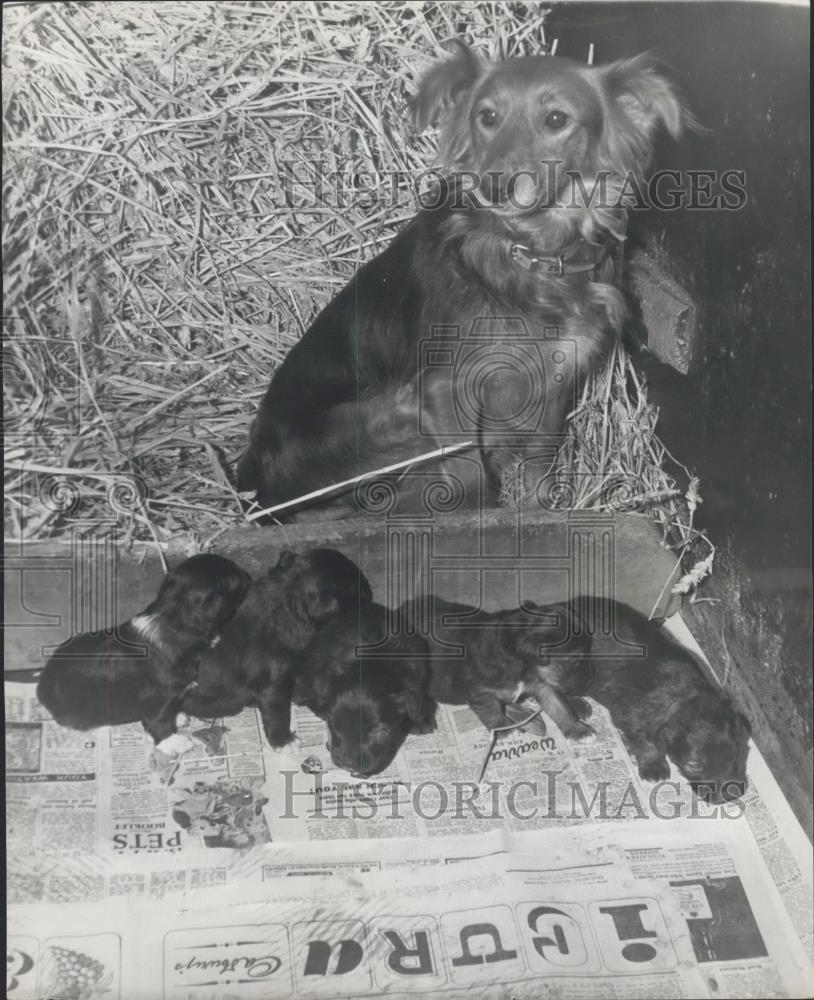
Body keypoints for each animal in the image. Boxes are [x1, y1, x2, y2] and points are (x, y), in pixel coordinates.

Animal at [32, 556, 252, 744]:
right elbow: (159, 725)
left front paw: (180, 717)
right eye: (235, 580)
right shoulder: (160, 702)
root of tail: (41, 685)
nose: (247, 574)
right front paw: (176, 744)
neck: (172, 617)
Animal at [239, 46, 700, 516]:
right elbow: (470, 485)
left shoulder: (554, 381)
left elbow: (538, 465)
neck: (530, 256)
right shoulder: (443, 392)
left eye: (556, 119)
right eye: (487, 116)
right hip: (391, 416)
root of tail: (254, 486)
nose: (493, 187)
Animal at [292, 596, 436, 776]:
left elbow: (420, 698)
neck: (374, 666)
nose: (348, 765)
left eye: (379, 731)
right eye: (334, 726)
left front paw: (421, 720)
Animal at [408, 592, 592, 744]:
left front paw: (578, 729)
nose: (587, 687)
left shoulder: (543, 686)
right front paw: (505, 730)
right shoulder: (481, 692)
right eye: (574, 661)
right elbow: (492, 711)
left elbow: (559, 707)